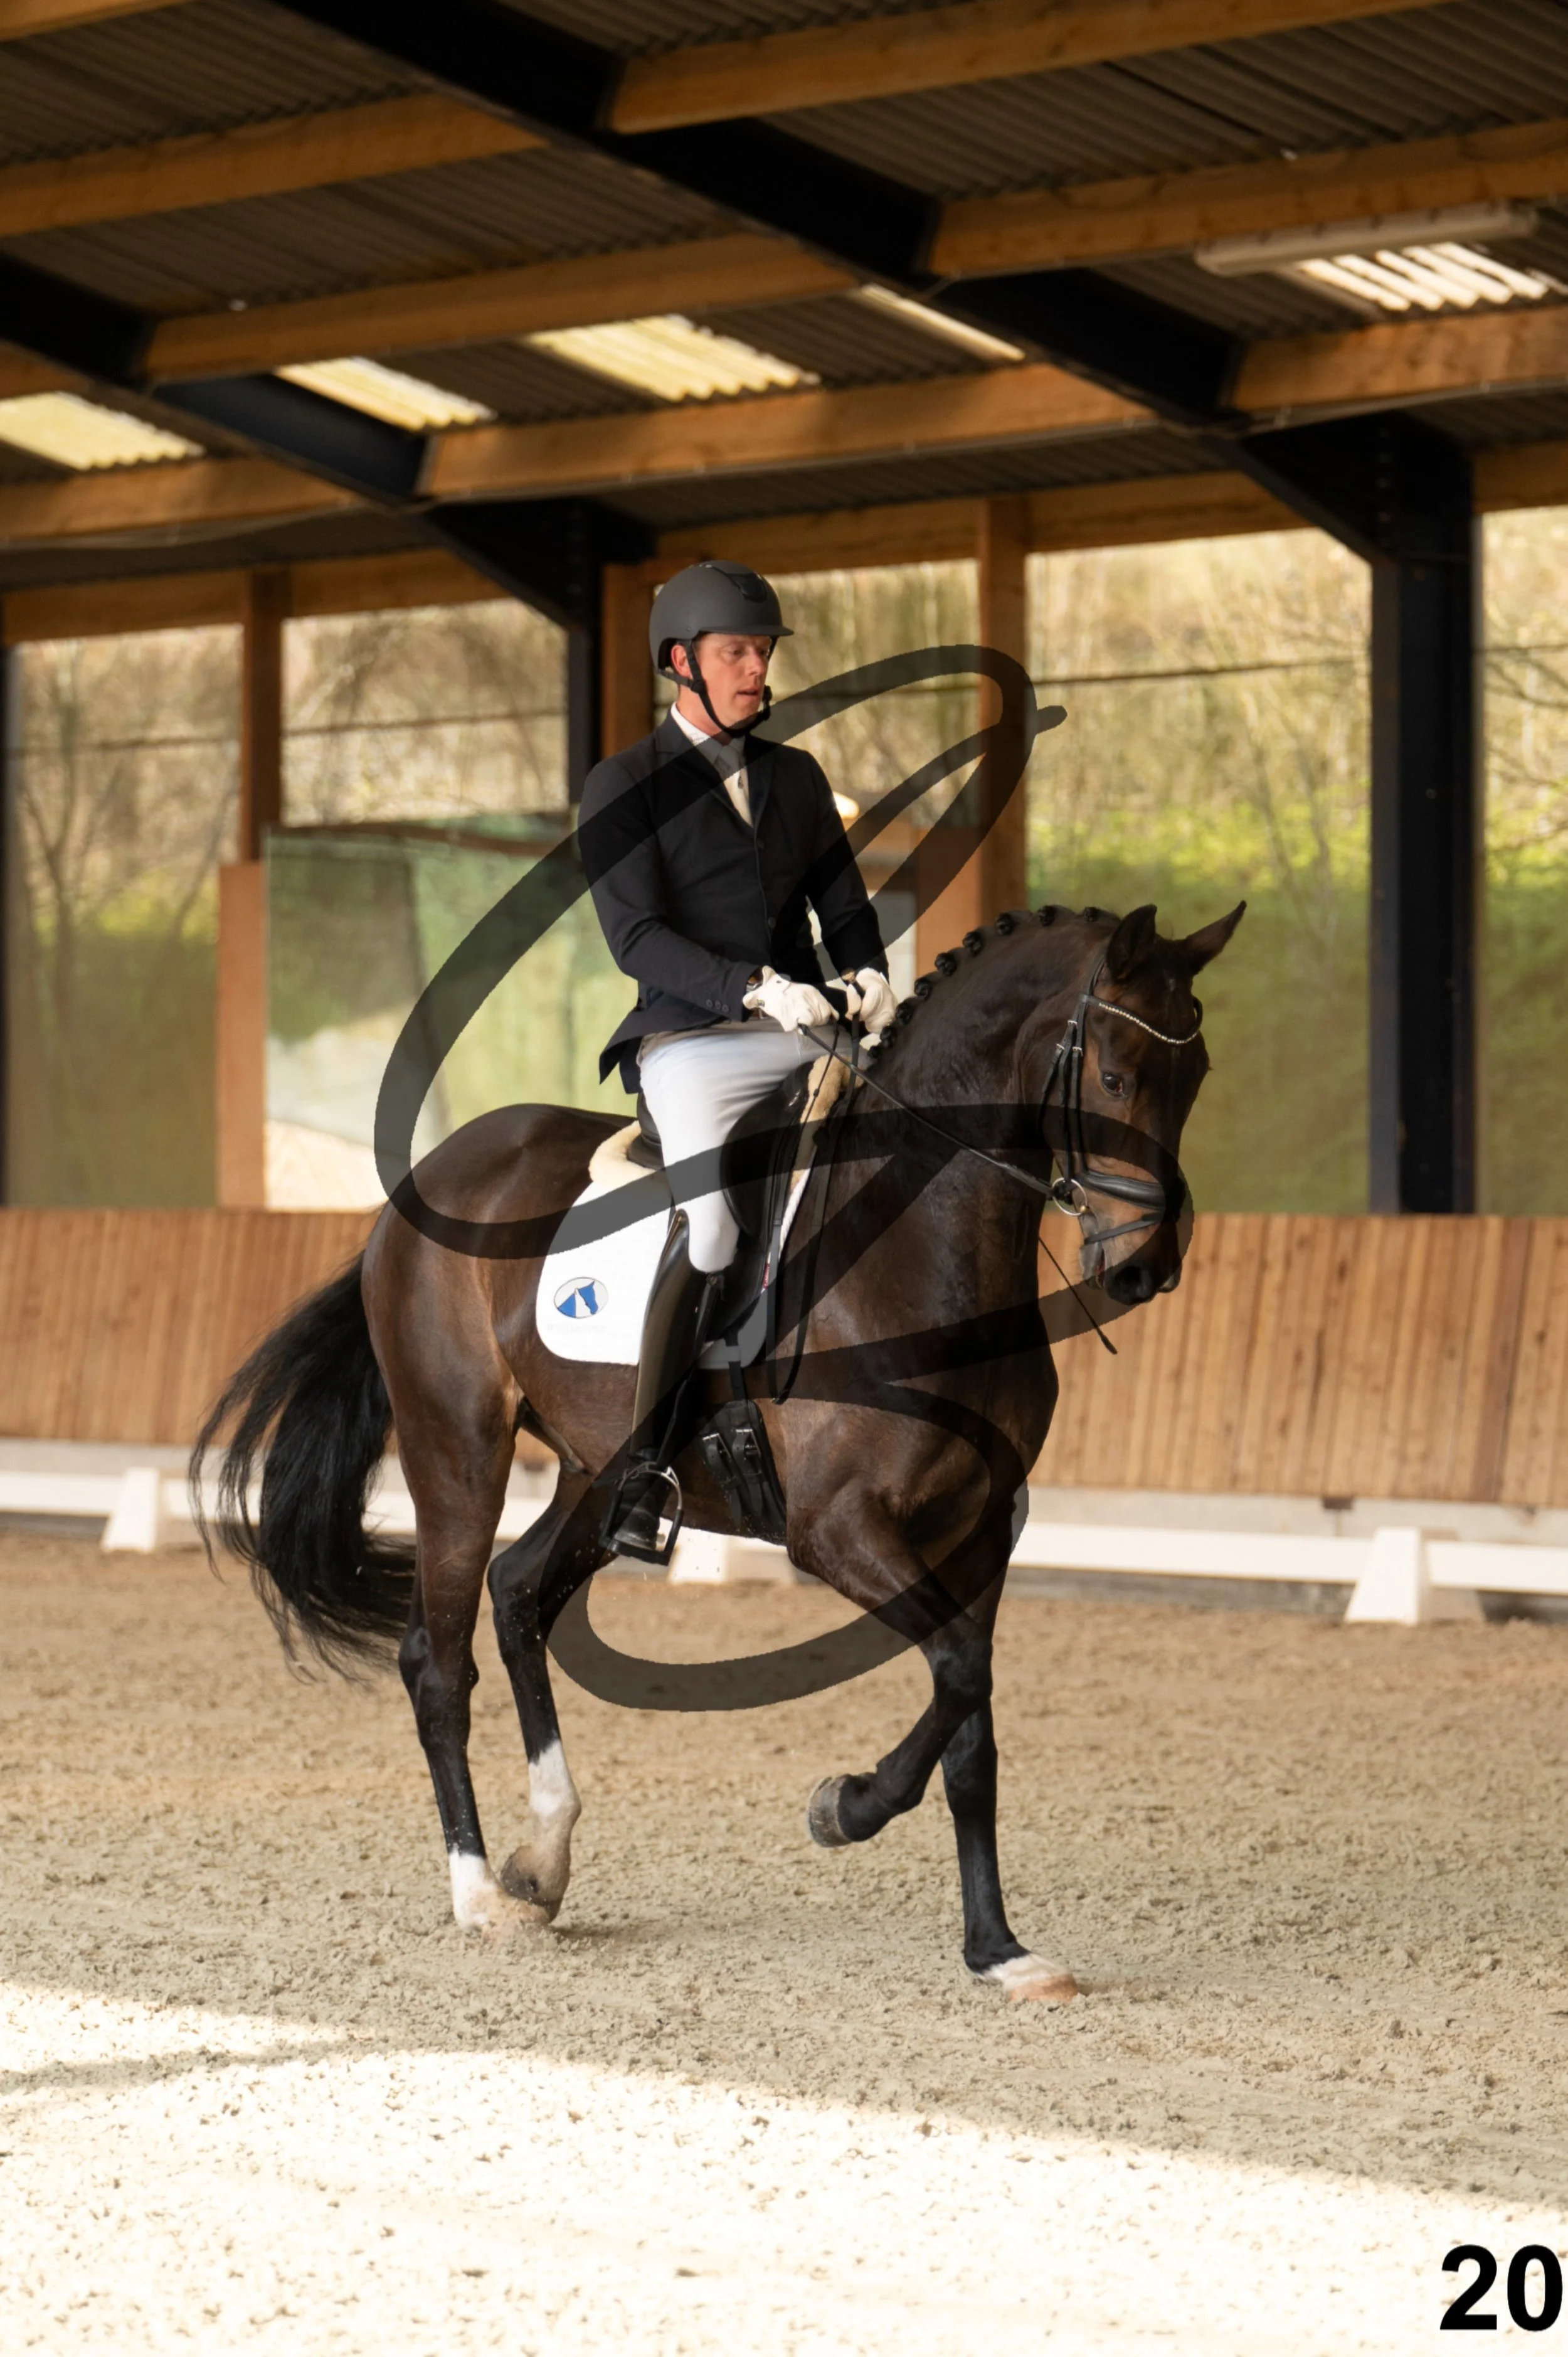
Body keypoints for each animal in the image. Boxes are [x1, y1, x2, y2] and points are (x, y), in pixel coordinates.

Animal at [196, 896, 1242, 2005]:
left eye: (1196, 1076)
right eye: (1115, 1078)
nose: (1143, 1269)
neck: (919, 1246)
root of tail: (419, 1188)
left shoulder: (981, 1528)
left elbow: (971, 1711)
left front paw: (996, 1946)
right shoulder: (836, 1530)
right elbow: (960, 1673)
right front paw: (846, 1806)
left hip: (597, 1469)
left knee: (519, 1593)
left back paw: (544, 1858)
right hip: (457, 1450)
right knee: (437, 1661)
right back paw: (481, 1896)